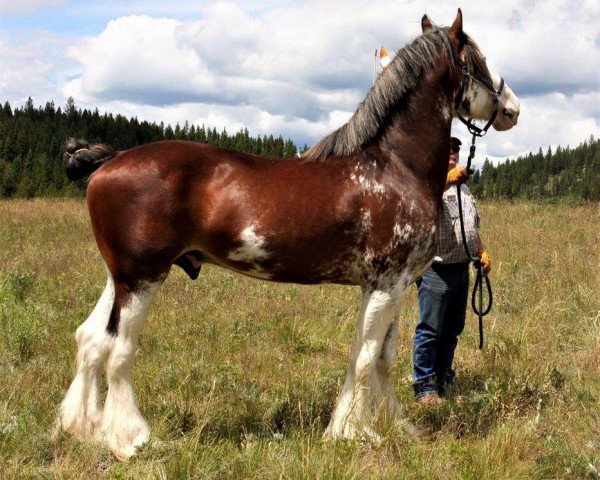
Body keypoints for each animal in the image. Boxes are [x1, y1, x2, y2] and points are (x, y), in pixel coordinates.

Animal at [58, 9, 516, 460]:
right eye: (478, 60)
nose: (512, 108)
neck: (395, 166)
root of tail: (111, 160)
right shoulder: (386, 286)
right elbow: (365, 361)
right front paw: (353, 434)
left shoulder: (395, 286)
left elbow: (380, 359)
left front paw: (390, 426)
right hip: (143, 278)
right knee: (119, 352)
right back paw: (130, 439)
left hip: (119, 278)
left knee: (91, 340)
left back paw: (82, 428)